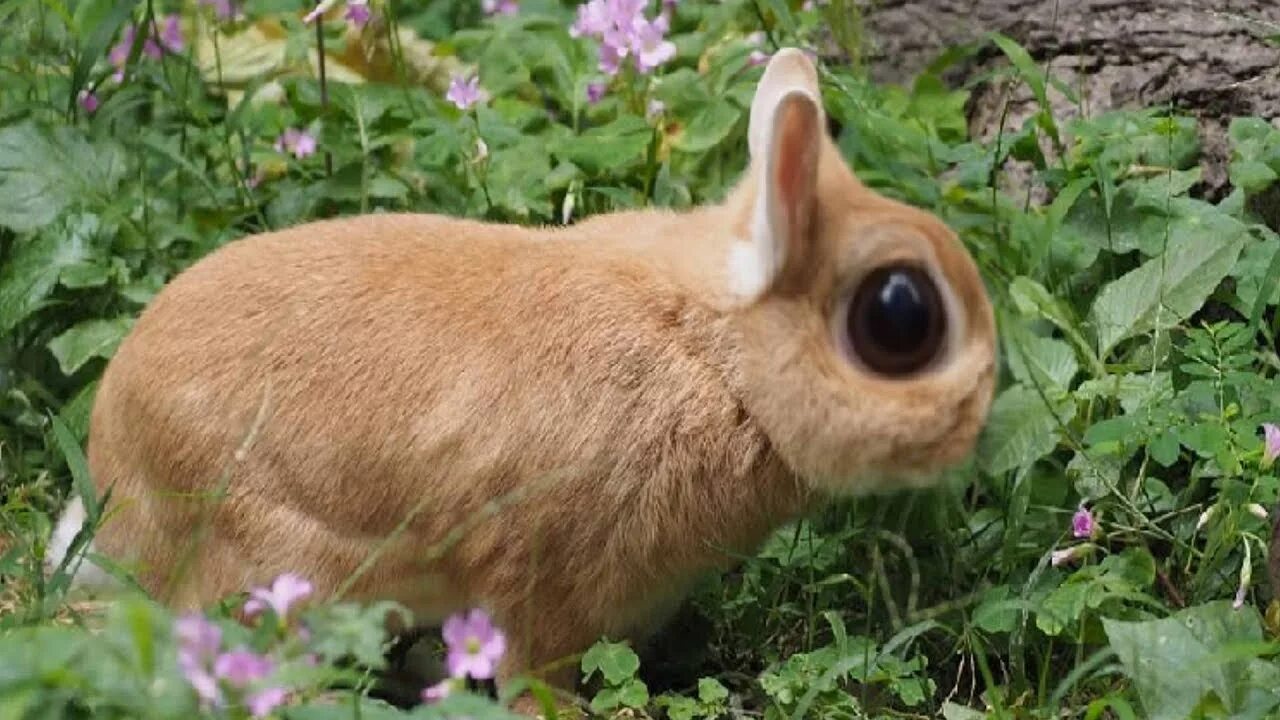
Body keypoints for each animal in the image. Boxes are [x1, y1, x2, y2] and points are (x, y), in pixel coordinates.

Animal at [49, 49, 993, 712]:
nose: (976, 421)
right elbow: (537, 674)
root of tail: (113, 482)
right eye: (899, 319)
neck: (712, 355)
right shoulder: (540, 579)